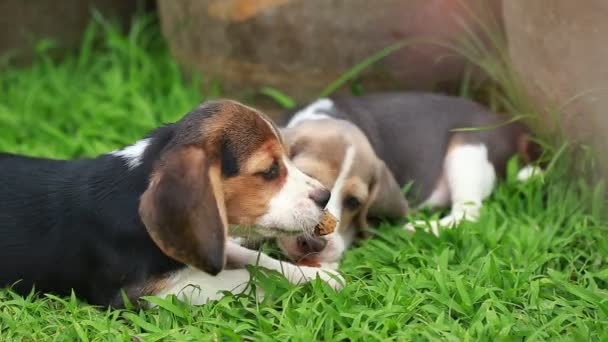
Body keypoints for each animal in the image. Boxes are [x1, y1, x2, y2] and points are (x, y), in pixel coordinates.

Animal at [0, 99, 342, 308]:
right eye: (269, 170)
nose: (324, 195)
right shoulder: (143, 295)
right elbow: (250, 276)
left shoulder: (205, 242)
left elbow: (259, 261)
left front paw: (321, 276)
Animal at [278, 92, 540, 264]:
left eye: (354, 202)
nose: (313, 244)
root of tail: (509, 125)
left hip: (468, 150)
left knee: (468, 212)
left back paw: (420, 228)